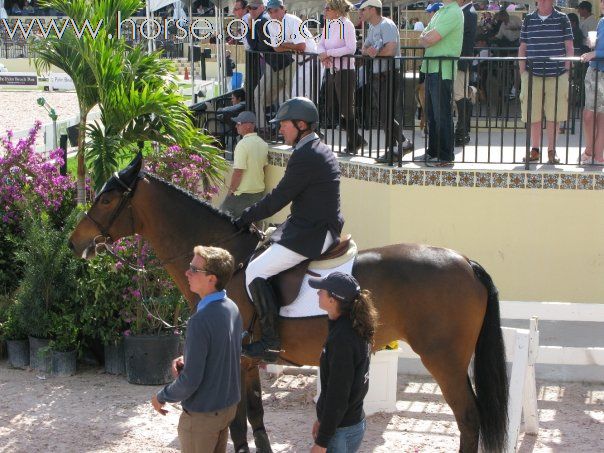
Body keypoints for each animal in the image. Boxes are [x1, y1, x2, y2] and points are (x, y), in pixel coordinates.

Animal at [68, 155, 508, 452]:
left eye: (106, 200)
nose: (75, 242)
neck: (227, 263)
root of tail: (465, 261)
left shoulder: (236, 357)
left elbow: (238, 425)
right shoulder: (248, 364)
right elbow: (256, 418)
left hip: (443, 359)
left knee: (469, 419)